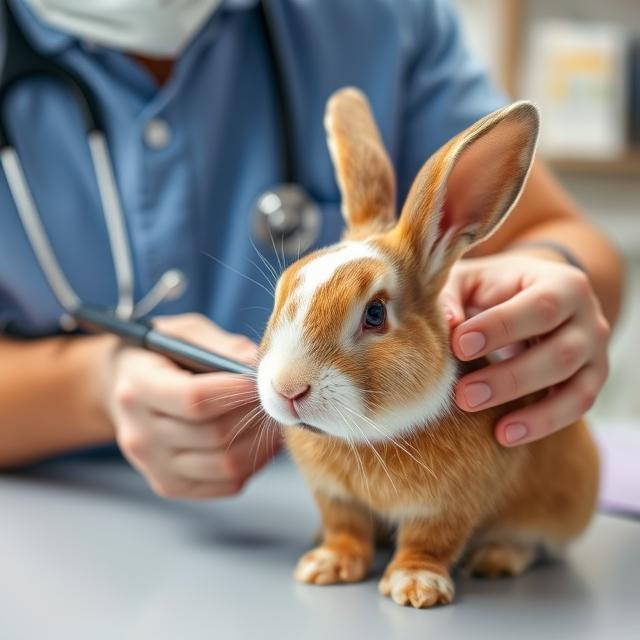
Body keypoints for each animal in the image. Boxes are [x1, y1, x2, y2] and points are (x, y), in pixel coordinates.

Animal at [256, 87, 599, 609]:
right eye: (282, 292)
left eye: (375, 314)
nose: (288, 388)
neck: (369, 436)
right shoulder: (335, 496)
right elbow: (345, 529)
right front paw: (325, 566)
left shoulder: (448, 505)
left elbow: (429, 542)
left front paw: (416, 586)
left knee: (532, 542)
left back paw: (496, 559)